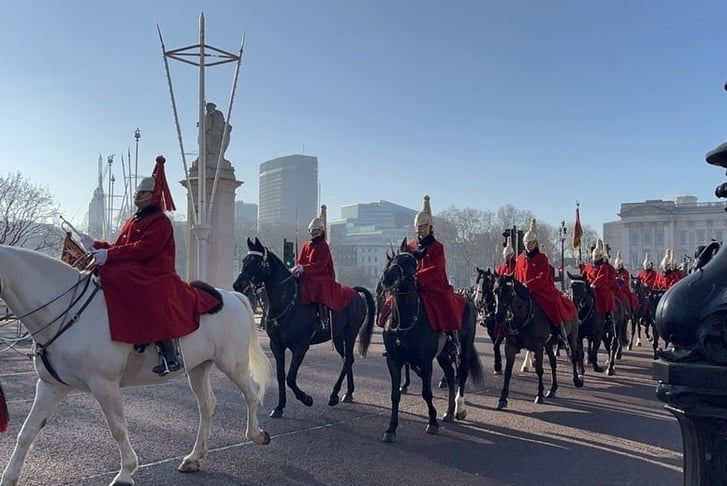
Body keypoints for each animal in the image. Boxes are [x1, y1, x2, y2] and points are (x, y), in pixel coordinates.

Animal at [0, 247, 272, 486]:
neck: (67, 312)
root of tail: (231, 296)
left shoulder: (104, 385)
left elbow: (118, 428)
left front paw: (125, 472)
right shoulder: (51, 386)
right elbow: (27, 431)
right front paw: (9, 477)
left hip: (233, 364)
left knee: (251, 392)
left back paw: (256, 435)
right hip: (198, 368)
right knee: (207, 405)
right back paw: (194, 457)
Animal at [236, 237, 378, 416]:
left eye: (256, 262)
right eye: (244, 260)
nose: (237, 285)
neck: (287, 303)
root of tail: (355, 292)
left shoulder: (301, 346)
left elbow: (290, 378)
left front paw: (306, 398)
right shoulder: (276, 345)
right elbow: (281, 376)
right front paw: (280, 407)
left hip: (350, 333)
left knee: (347, 359)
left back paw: (334, 394)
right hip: (338, 336)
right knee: (348, 359)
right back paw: (348, 393)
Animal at [378, 240, 486, 444]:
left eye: (412, 264)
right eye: (394, 258)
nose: (387, 279)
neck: (406, 320)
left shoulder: (425, 361)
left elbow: (426, 393)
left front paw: (432, 421)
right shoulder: (394, 360)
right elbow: (395, 394)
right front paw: (391, 428)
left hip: (464, 349)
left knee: (461, 374)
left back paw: (459, 408)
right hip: (443, 355)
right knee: (450, 376)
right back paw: (449, 412)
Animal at [490, 274, 584, 410]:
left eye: (508, 290)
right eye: (495, 291)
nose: (499, 316)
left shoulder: (539, 346)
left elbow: (539, 370)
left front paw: (539, 395)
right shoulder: (510, 346)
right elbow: (508, 371)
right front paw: (502, 399)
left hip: (572, 338)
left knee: (574, 357)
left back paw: (577, 380)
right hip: (549, 344)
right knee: (553, 362)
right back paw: (553, 389)